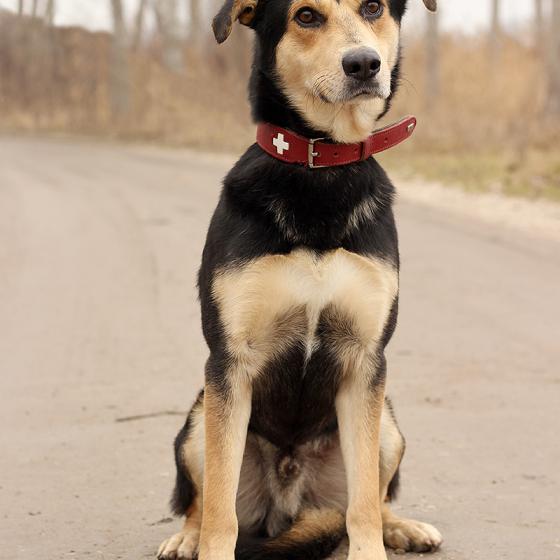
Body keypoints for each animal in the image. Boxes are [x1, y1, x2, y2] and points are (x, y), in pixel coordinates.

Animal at [158, 1, 443, 560]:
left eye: (374, 8)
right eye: (306, 16)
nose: (364, 64)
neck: (320, 168)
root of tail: (290, 495)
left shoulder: (364, 361)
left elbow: (362, 505)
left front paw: (373, 547)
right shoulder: (231, 362)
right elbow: (220, 508)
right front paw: (209, 545)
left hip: (388, 425)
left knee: (376, 497)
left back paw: (403, 527)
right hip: (200, 418)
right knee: (201, 500)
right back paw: (187, 537)